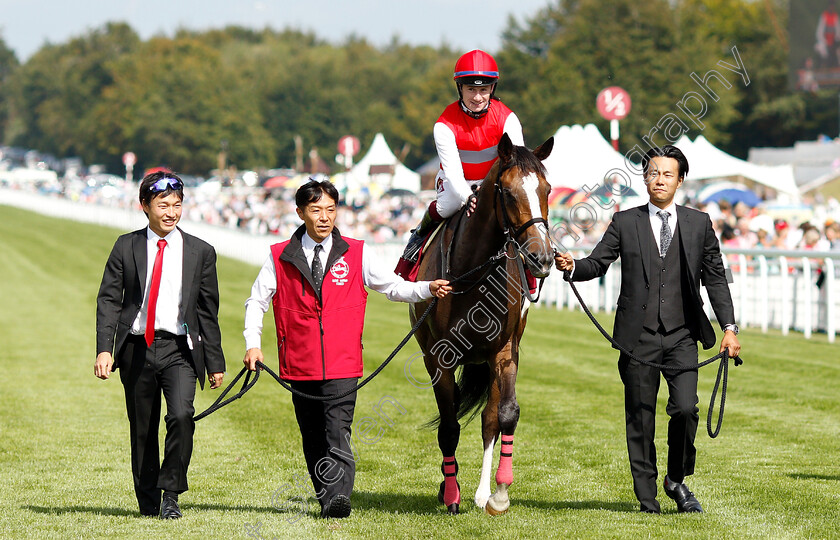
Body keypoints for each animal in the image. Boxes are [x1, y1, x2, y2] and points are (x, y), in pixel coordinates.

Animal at [410, 132, 556, 516]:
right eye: (507, 191)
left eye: (548, 189)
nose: (542, 258)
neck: (473, 270)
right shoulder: (439, 359)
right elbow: (448, 427)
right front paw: (450, 494)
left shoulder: (504, 352)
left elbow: (503, 416)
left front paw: (499, 493)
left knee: (489, 420)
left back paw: (482, 491)